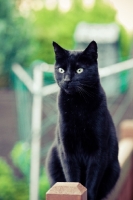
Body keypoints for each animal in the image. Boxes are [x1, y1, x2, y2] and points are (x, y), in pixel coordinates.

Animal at [45, 41, 120, 200]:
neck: (78, 104)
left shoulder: (99, 151)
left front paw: (89, 195)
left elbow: (92, 179)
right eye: (61, 69)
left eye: (79, 70)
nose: (67, 80)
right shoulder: (66, 149)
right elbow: (72, 176)